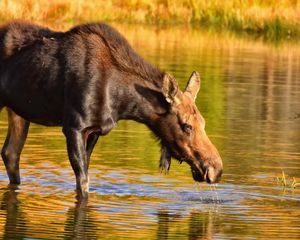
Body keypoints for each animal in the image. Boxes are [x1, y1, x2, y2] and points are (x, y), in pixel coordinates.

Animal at [0, 21, 223, 199]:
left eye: (203, 123)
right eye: (187, 126)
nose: (217, 169)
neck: (122, 101)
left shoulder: (95, 130)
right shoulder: (74, 126)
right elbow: (83, 184)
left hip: (18, 112)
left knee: (10, 153)